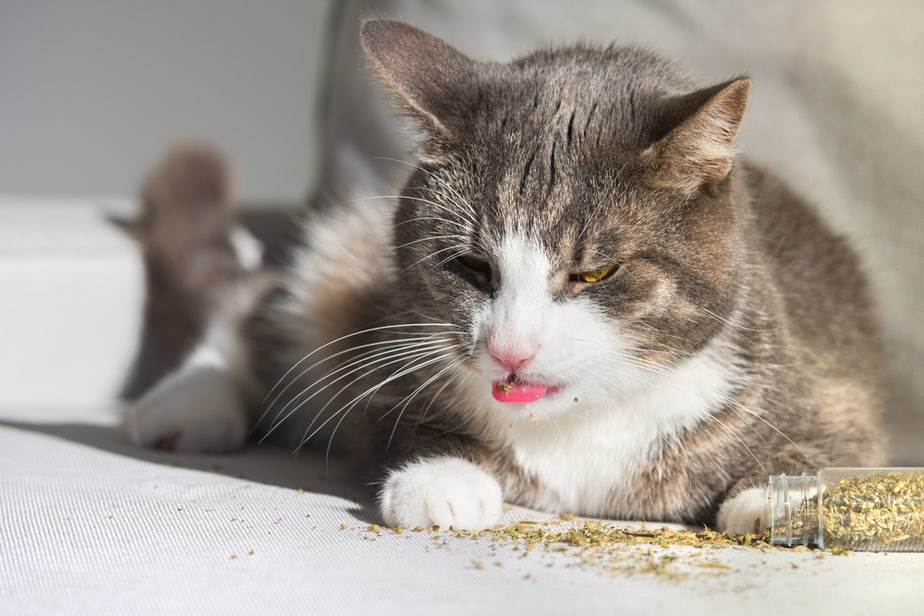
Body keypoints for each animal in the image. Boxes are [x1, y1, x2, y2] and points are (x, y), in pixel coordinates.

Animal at [119, 20, 884, 536]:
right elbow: (395, 420)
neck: (580, 425)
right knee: (266, 305)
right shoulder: (392, 342)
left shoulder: (827, 375)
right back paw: (186, 402)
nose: (510, 349)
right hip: (338, 272)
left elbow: (840, 443)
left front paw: (781, 495)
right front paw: (442, 476)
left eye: (595, 271)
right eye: (472, 265)